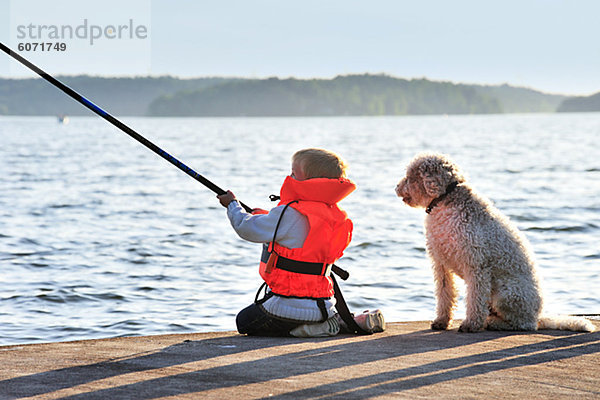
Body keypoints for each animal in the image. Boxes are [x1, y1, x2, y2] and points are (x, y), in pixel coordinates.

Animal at [394, 152, 596, 332]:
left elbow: (475, 299)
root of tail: (538, 316)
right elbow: (445, 294)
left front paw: (471, 324)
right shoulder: (441, 264)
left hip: (506, 293)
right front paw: (441, 321)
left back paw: (492, 323)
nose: (396, 187)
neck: (445, 201)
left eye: (410, 177)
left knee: (523, 325)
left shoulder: (477, 265)